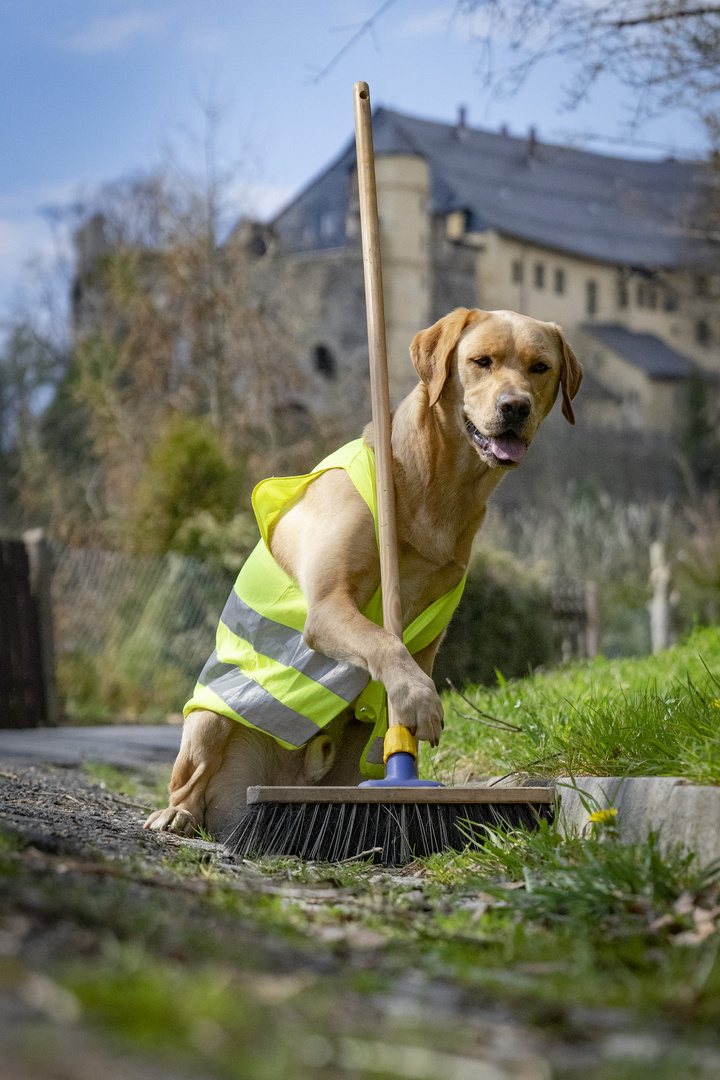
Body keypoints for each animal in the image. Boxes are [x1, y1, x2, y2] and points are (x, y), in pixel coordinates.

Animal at [144, 308, 578, 838]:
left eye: (540, 367)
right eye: (482, 361)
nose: (515, 406)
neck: (439, 485)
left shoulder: (430, 635)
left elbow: (404, 665)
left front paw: (410, 729)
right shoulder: (330, 606)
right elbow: (383, 642)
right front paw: (418, 700)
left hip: (352, 760)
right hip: (210, 722)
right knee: (190, 778)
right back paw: (178, 814)